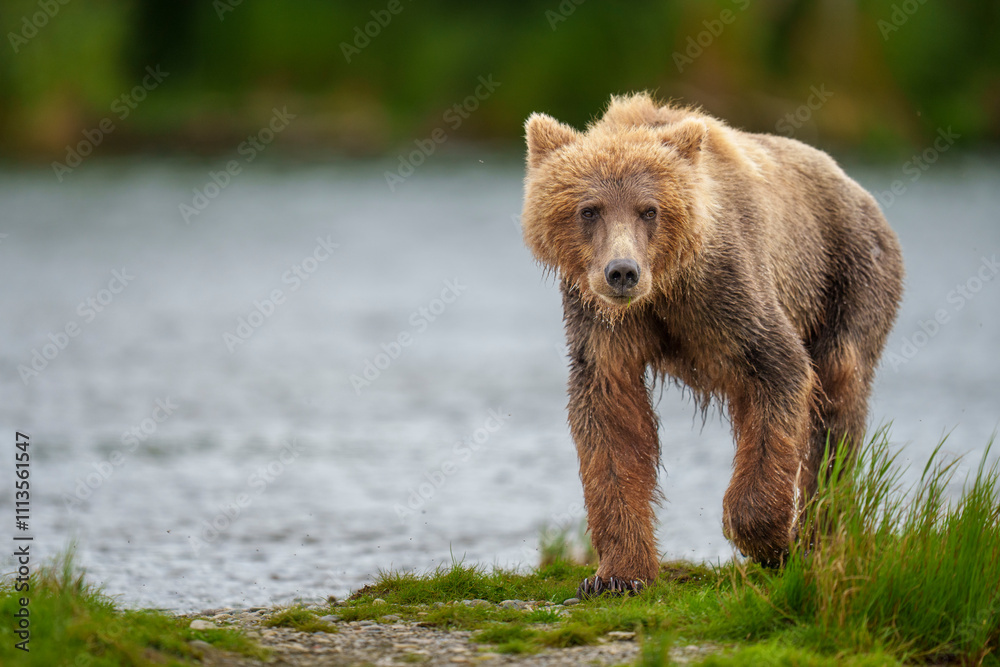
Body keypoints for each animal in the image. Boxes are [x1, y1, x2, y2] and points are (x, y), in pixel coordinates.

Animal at [520, 93, 904, 598]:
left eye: (649, 209)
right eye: (590, 209)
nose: (622, 272)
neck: (664, 288)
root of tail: (856, 187)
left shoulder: (728, 293)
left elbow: (781, 372)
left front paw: (771, 542)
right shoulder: (602, 324)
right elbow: (609, 419)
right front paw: (616, 574)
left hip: (847, 274)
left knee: (838, 399)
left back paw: (821, 533)